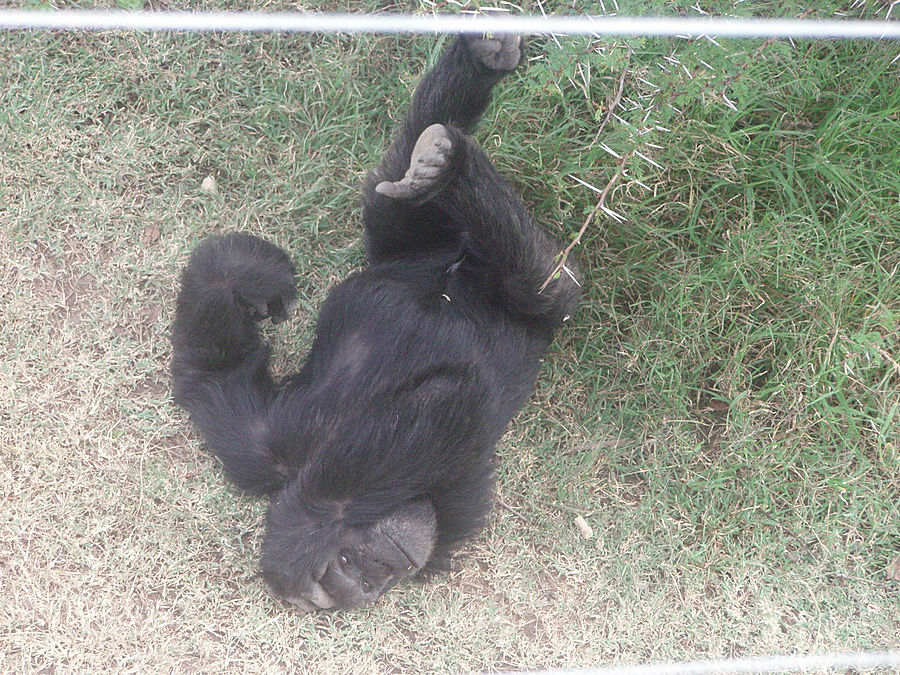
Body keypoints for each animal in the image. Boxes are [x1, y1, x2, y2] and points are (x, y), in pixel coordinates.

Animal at [171, 33, 580, 612]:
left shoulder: (277, 453)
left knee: (542, 281)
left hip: (501, 282)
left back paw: (456, 143)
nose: (367, 582)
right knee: (417, 197)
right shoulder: (267, 447)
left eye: (367, 567)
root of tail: (458, 266)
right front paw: (241, 275)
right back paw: (454, 133)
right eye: (352, 566)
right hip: (413, 243)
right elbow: (214, 372)